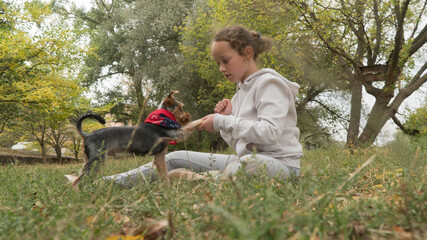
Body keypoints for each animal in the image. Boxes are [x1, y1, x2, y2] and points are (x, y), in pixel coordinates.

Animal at [64, 91, 203, 188]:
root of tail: (86, 135)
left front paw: (168, 189)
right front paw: (203, 119)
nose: (188, 115)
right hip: (96, 160)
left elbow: (164, 174)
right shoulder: (177, 133)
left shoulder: (160, 156)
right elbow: (191, 126)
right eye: (180, 108)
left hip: (90, 160)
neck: (161, 119)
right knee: (78, 180)